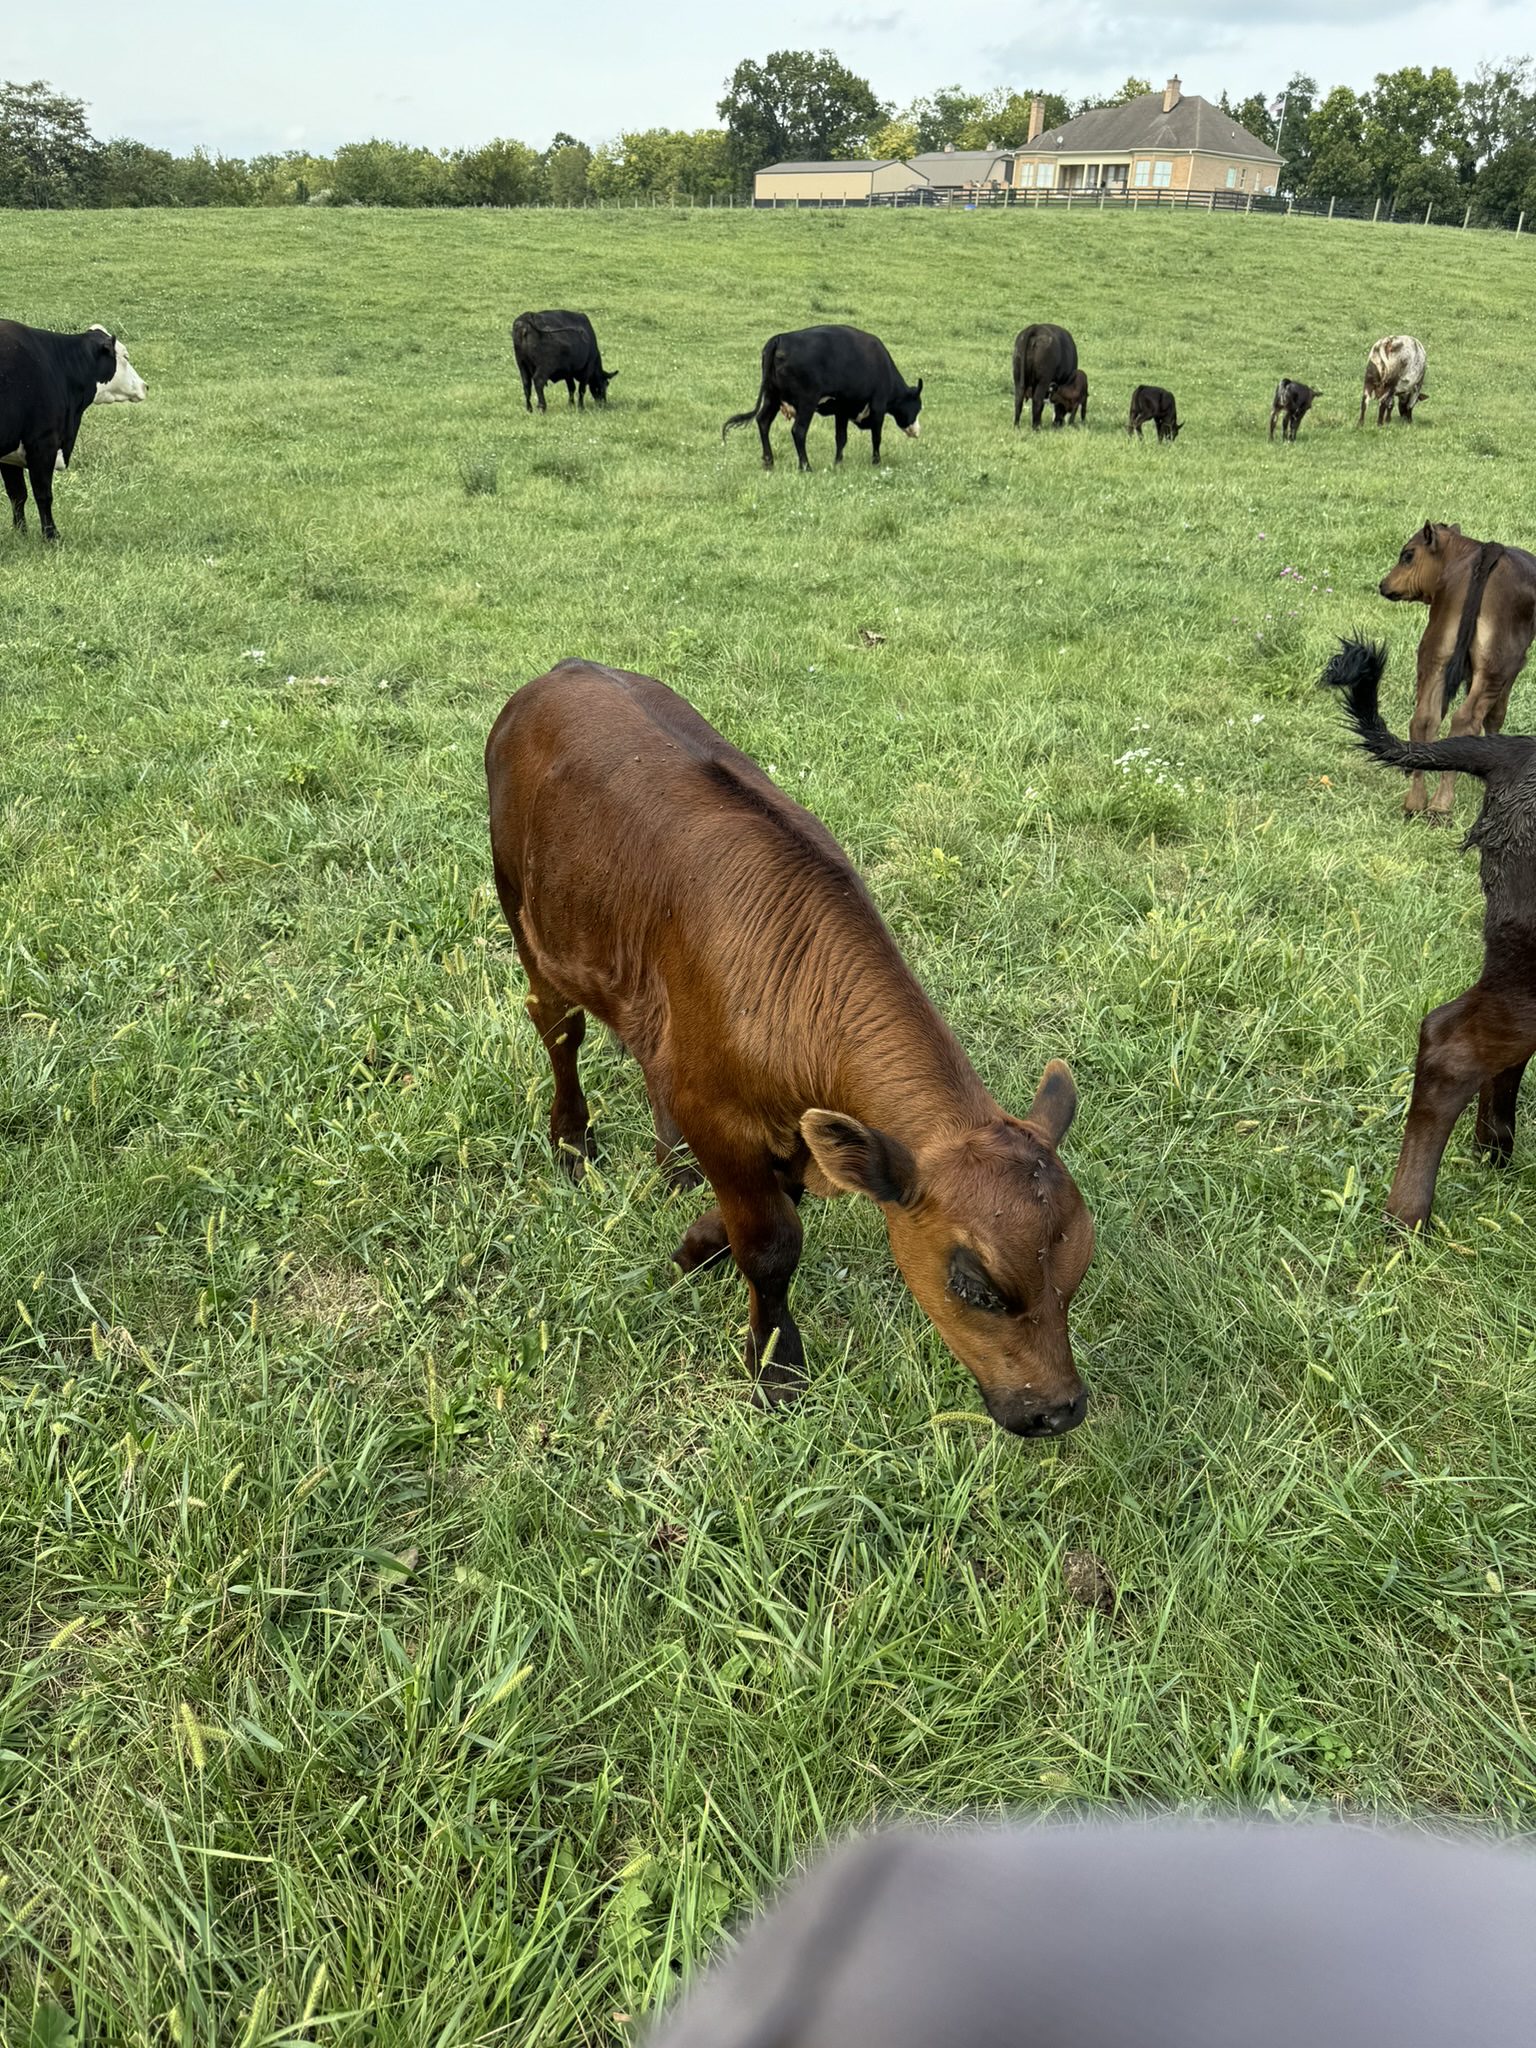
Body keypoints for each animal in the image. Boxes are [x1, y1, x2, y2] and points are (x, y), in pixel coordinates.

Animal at [0, 321, 122, 539]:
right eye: (125, 356)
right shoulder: (43, 443)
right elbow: (43, 494)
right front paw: (51, 535)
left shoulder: (10, 453)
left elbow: (17, 494)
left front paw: (21, 533)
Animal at [486, 660, 1093, 1436]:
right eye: (977, 1287)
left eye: (1076, 1273)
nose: (1059, 1409)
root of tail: (563, 671)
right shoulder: (722, 1114)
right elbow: (772, 1245)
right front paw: (775, 1366)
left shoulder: (798, 1132)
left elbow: (767, 1218)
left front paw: (693, 1246)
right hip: (527, 913)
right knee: (558, 1027)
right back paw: (570, 1141)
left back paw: (673, 1163)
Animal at [722, 326, 922, 471]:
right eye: (918, 407)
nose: (917, 431)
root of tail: (780, 338)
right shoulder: (878, 407)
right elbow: (876, 437)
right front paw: (876, 462)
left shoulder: (842, 410)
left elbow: (841, 437)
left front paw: (838, 463)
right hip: (807, 402)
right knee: (798, 431)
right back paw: (805, 466)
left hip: (772, 396)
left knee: (763, 421)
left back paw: (769, 462)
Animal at [1376, 522, 1536, 818]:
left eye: (1407, 555)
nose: (1383, 584)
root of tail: (1486, 551)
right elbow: (1495, 715)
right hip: (1498, 664)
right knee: (1466, 719)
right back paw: (1440, 806)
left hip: (1434, 652)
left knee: (1424, 718)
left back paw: (1416, 803)